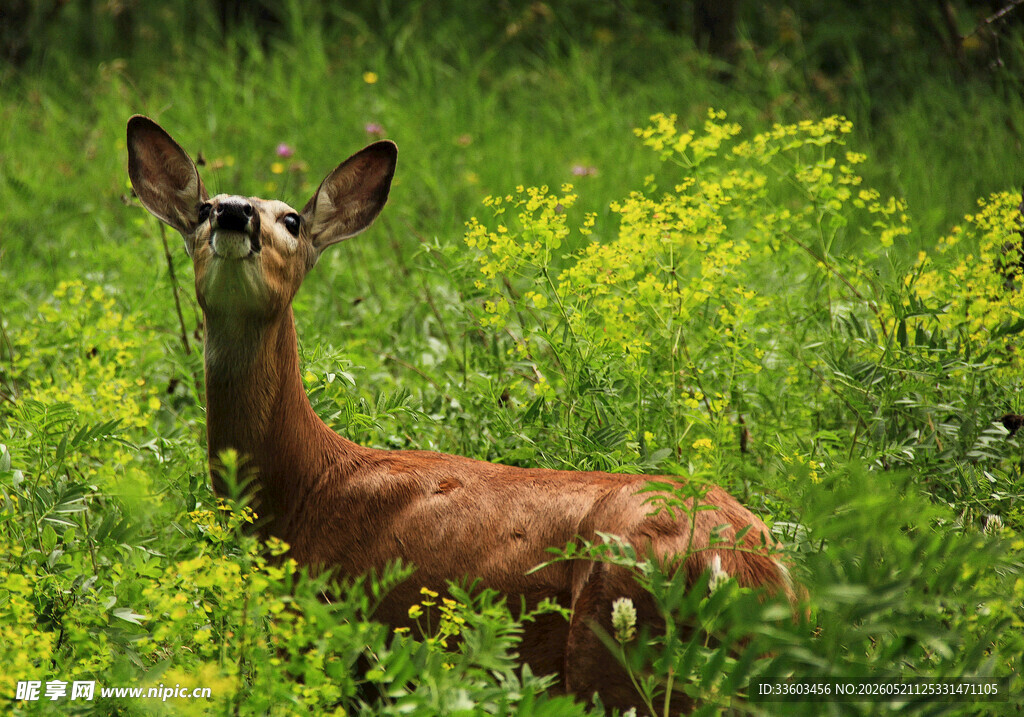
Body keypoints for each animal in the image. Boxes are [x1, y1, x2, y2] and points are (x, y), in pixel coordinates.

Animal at [126, 115, 793, 713]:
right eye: (204, 207)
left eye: (291, 219)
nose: (234, 212)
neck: (305, 491)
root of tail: (752, 566)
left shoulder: (336, 631)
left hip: (613, 644)